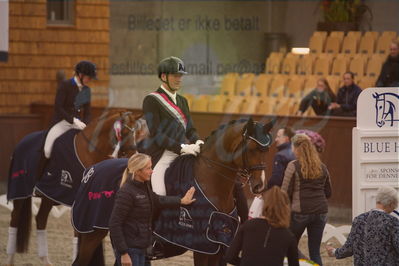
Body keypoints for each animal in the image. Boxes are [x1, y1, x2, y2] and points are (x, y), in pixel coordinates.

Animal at [6, 109, 148, 264]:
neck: (90, 152)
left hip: (49, 196)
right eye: (124, 131)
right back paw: (10, 260)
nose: (133, 155)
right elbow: (78, 235)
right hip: (20, 191)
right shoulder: (79, 204)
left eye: (136, 133)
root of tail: (23, 140)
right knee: (14, 218)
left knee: (40, 219)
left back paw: (46, 261)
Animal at [72, 118, 276, 266]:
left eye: (266, 149)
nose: (259, 186)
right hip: (92, 232)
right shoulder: (202, 246)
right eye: (252, 149)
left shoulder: (217, 246)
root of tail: (91, 171)